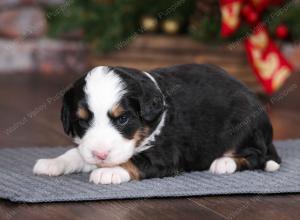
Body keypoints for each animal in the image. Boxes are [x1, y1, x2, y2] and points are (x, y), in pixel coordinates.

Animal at [32, 63, 282, 184]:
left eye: (123, 119)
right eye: (82, 121)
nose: (101, 155)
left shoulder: (165, 156)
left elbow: (133, 161)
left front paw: (109, 172)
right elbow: (77, 153)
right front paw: (54, 163)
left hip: (243, 126)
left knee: (256, 155)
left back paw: (224, 162)